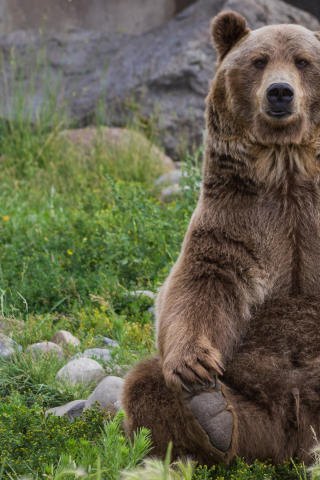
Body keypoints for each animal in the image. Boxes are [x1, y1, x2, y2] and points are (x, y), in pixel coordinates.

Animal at [122, 11, 320, 466]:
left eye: (303, 61)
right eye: (259, 61)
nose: (280, 92)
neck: (287, 168)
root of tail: (298, 439)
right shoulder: (236, 219)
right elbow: (201, 283)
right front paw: (194, 367)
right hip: (258, 416)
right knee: (145, 383)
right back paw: (210, 415)